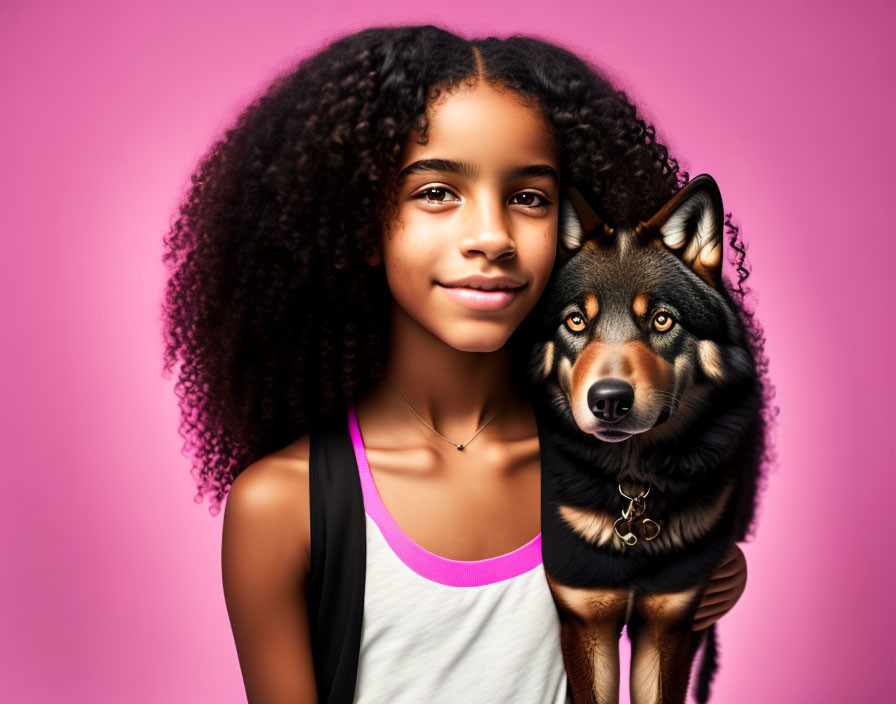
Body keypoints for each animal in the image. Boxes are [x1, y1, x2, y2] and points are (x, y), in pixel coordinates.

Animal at [520, 176, 768, 704]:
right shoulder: (586, 621)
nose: (609, 400)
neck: (633, 490)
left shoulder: (669, 624)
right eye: (576, 320)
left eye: (661, 319)